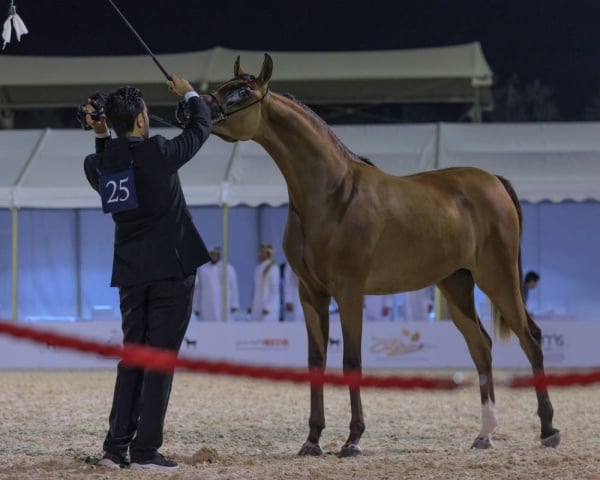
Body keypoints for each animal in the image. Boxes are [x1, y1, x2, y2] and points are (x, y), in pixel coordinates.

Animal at [207, 54, 564, 456]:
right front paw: (312, 441)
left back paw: (548, 430)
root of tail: (495, 182)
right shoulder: (310, 293)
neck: (332, 194)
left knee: (531, 339)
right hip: (456, 286)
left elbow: (352, 360)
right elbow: (316, 361)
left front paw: (353, 439)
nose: (193, 108)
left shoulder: (348, 291)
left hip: (498, 278)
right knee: (481, 347)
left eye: (242, 92)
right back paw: (484, 434)